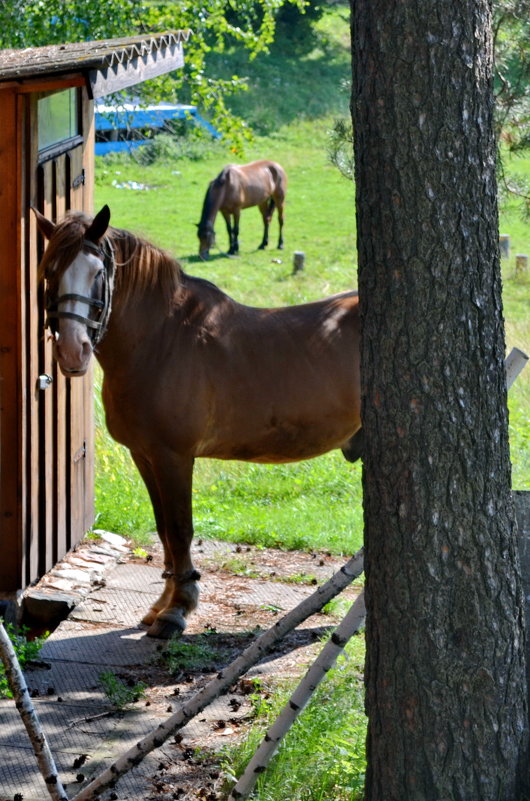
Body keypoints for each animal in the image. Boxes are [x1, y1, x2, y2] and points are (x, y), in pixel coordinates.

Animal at [35, 205, 360, 636]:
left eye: (98, 272)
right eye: (50, 270)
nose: (74, 351)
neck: (160, 339)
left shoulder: (174, 456)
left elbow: (180, 529)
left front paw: (177, 609)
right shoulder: (145, 455)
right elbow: (163, 530)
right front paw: (162, 603)